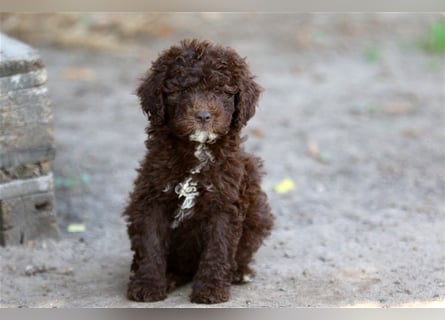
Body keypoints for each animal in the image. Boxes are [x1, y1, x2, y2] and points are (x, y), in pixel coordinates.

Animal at [123, 38, 272, 304]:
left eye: (222, 91)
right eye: (181, 91)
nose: (203, 115)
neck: (197, 150)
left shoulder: (225, 202)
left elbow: (218, 246)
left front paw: (211, 289)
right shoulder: (151, 197)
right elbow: (150, 243)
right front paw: (148, 284)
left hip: (258, 208)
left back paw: (239, 272)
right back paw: (171, 277)